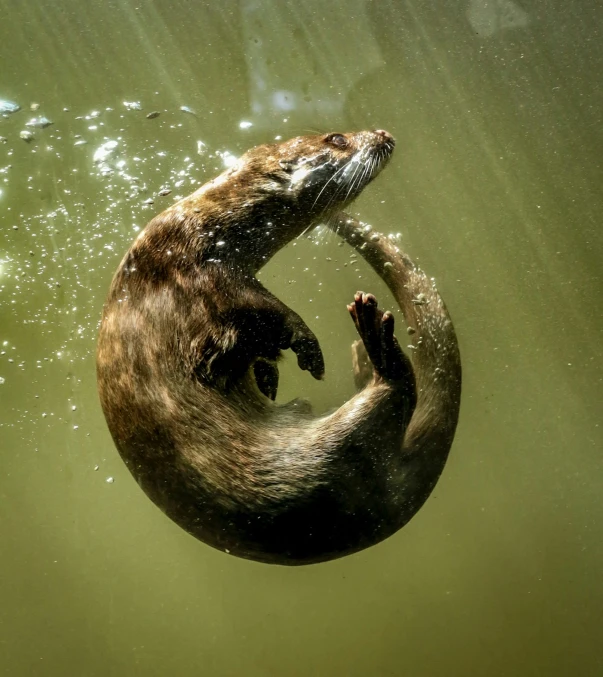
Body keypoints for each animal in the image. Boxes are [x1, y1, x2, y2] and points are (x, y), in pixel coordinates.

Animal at [96, 131, 462, 564]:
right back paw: (374, 337)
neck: (203, 226)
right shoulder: (205, 278)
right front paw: (308, 350)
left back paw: (362, 357)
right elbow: (268, 314)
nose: (384, 135)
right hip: (321, 465)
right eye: (337, 138)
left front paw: (267, 374)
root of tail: (391, 505)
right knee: (394, 391)